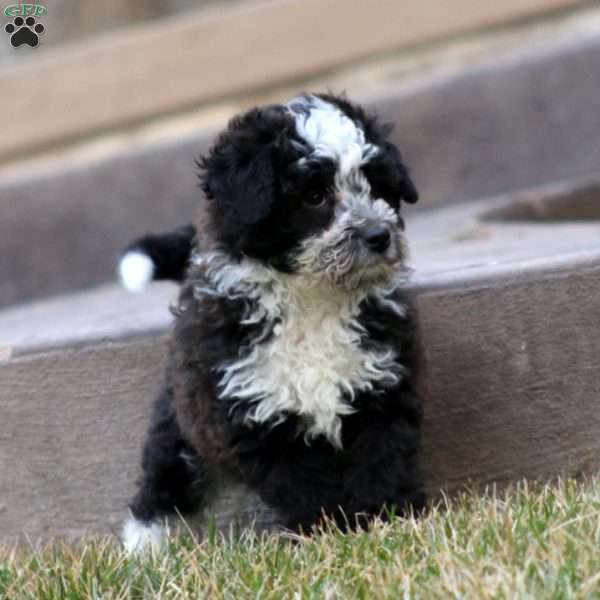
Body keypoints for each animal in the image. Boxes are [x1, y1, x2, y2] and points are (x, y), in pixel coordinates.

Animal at [119, 92, 424, 552]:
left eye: (377, 185)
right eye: (314, 196)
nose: (379, 236)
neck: (313, 298)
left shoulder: (380, 388)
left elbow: (382, 460)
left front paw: (386, 520)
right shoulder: (255, 414)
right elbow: (303, 486)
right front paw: (327, 531)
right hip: (179, 413)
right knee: (165, 467)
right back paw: (144, 544)